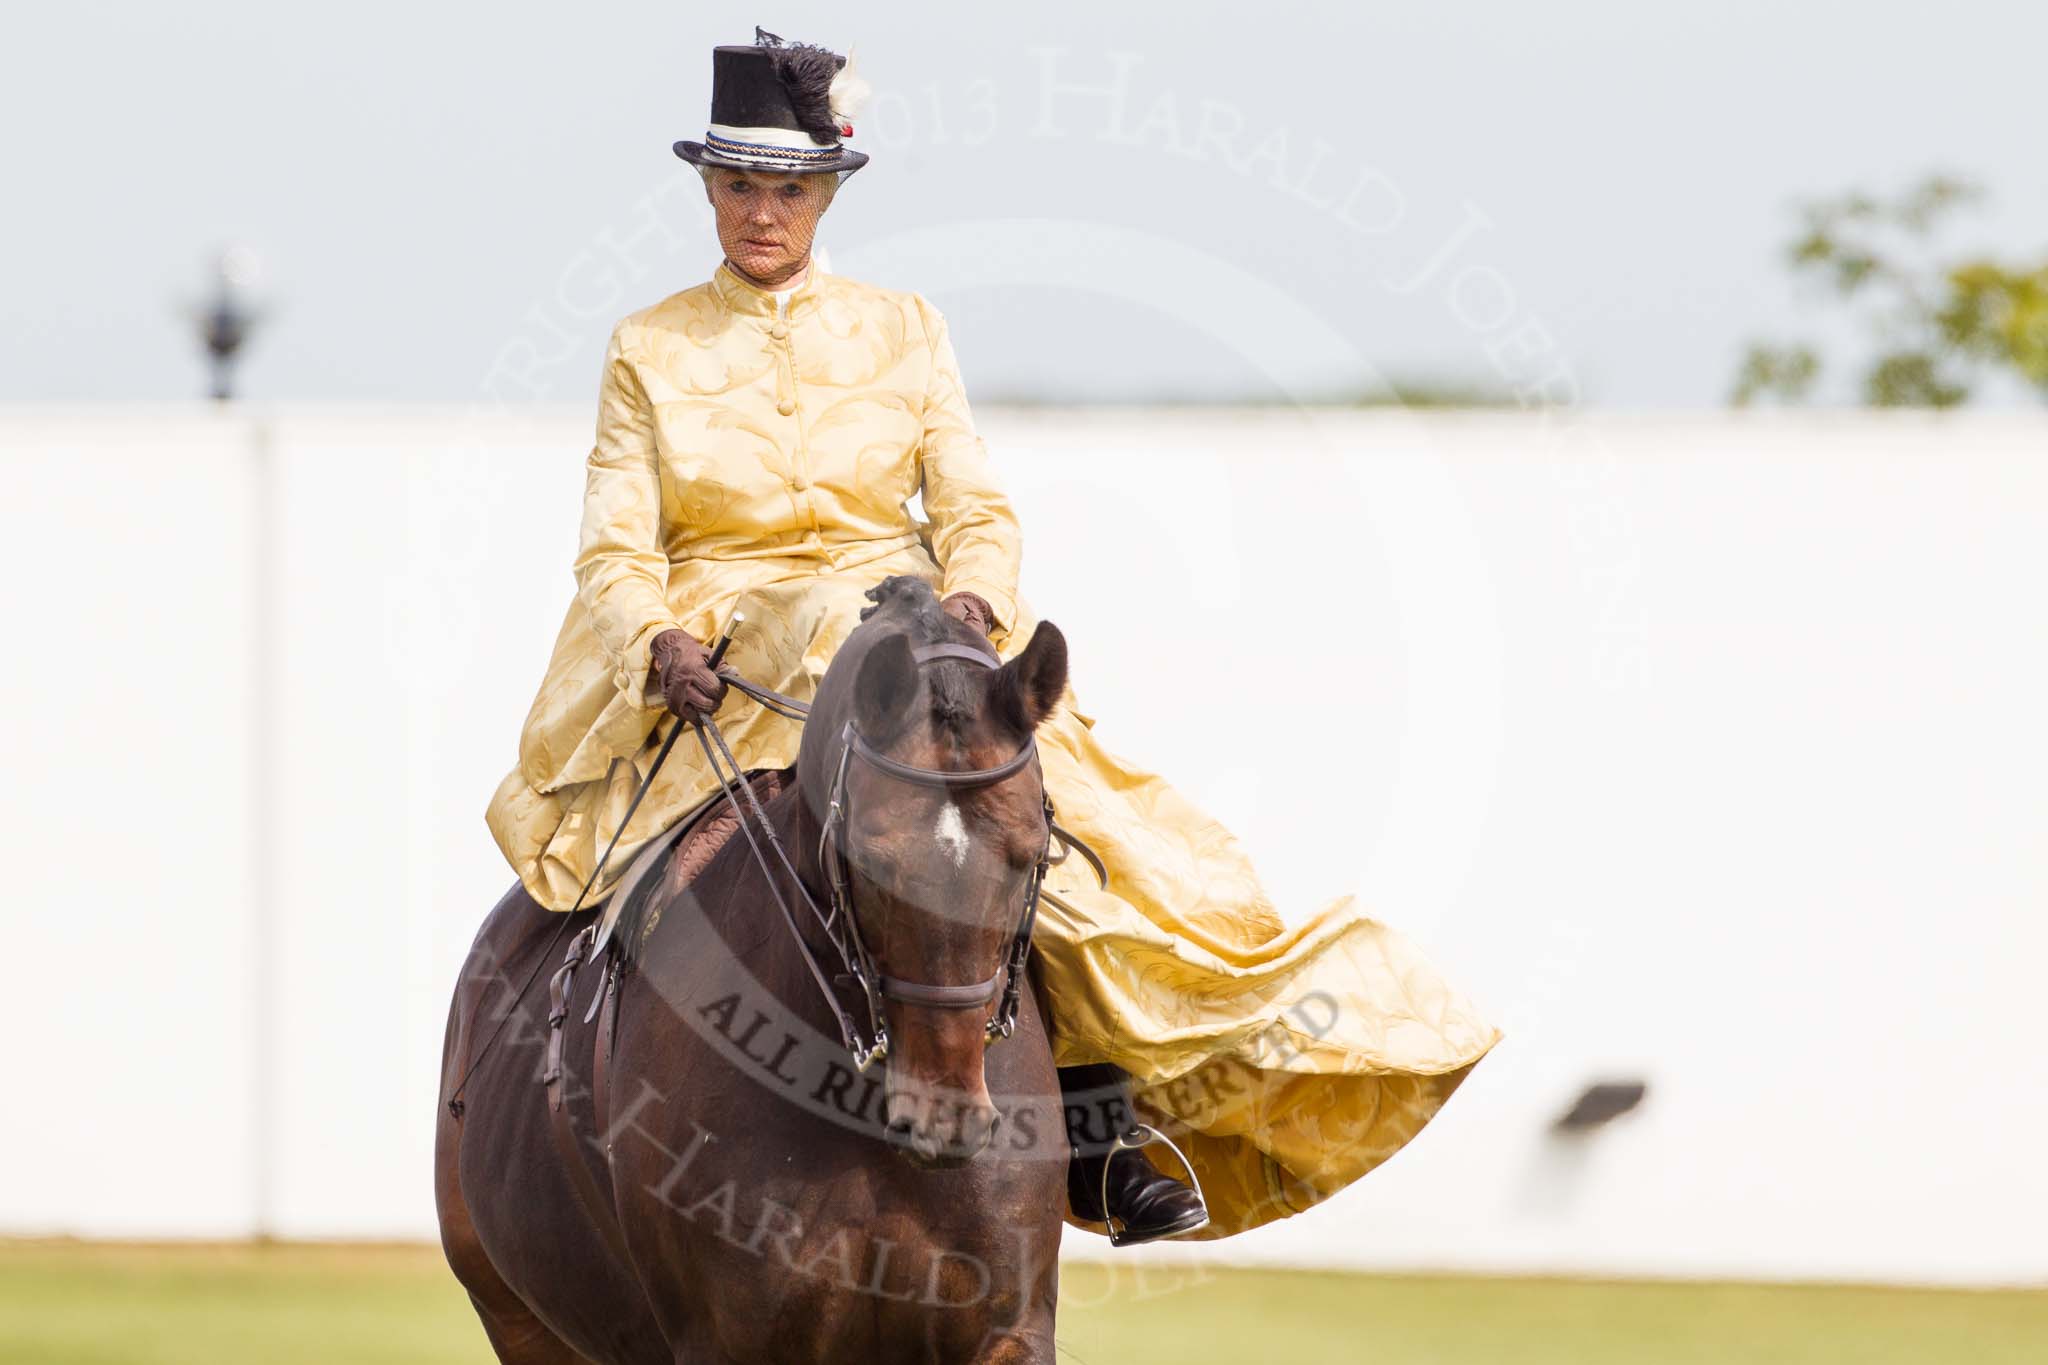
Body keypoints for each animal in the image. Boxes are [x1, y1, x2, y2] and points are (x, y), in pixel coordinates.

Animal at [432, 581, 1073, 1365]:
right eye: (869, 858)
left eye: (1032, 853)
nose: (945, 1117)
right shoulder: (730, 1339)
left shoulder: (1006, 1329)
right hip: (522, 1325)